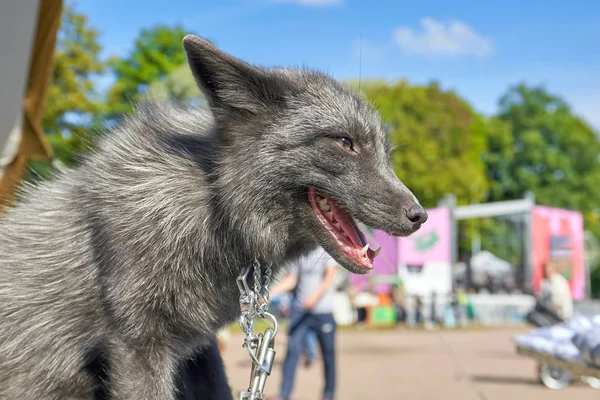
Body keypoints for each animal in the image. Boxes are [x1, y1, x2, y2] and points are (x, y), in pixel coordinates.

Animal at [0, 36, 426, 398]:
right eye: (344, 142)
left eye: (385, 153)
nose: (419, 215)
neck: (216, 205)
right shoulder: (136, 346)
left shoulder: (197, 350)